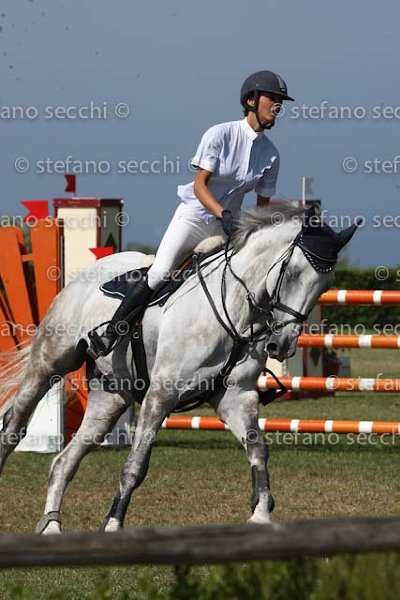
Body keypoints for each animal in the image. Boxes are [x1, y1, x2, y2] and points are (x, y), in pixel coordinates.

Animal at [0, 205, 357, 534]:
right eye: (292, 271)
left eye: (326, 284)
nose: (281, 345)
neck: (236, 310)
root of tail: (91, 270)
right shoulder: (161, 394)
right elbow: (136, 465)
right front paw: (113, 525)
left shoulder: (235, 398)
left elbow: (258, 449)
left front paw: (260, 514)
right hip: (50, 363)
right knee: (15, 425)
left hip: (110, 397)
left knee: (64, 461)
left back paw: (51, 526)